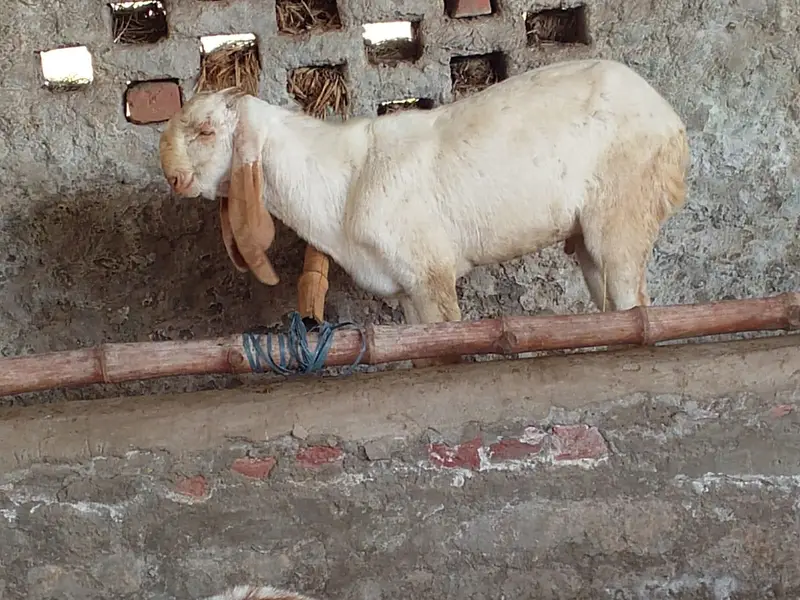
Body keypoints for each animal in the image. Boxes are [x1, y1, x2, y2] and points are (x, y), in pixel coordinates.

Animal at [159, 58, 689, 330]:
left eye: (206, 130)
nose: (173, 178)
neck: (342, 180)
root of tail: (671, 121)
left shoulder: (430, 270)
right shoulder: (406, 285)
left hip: (622, 213)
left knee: (634, 304)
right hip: (592, 239)